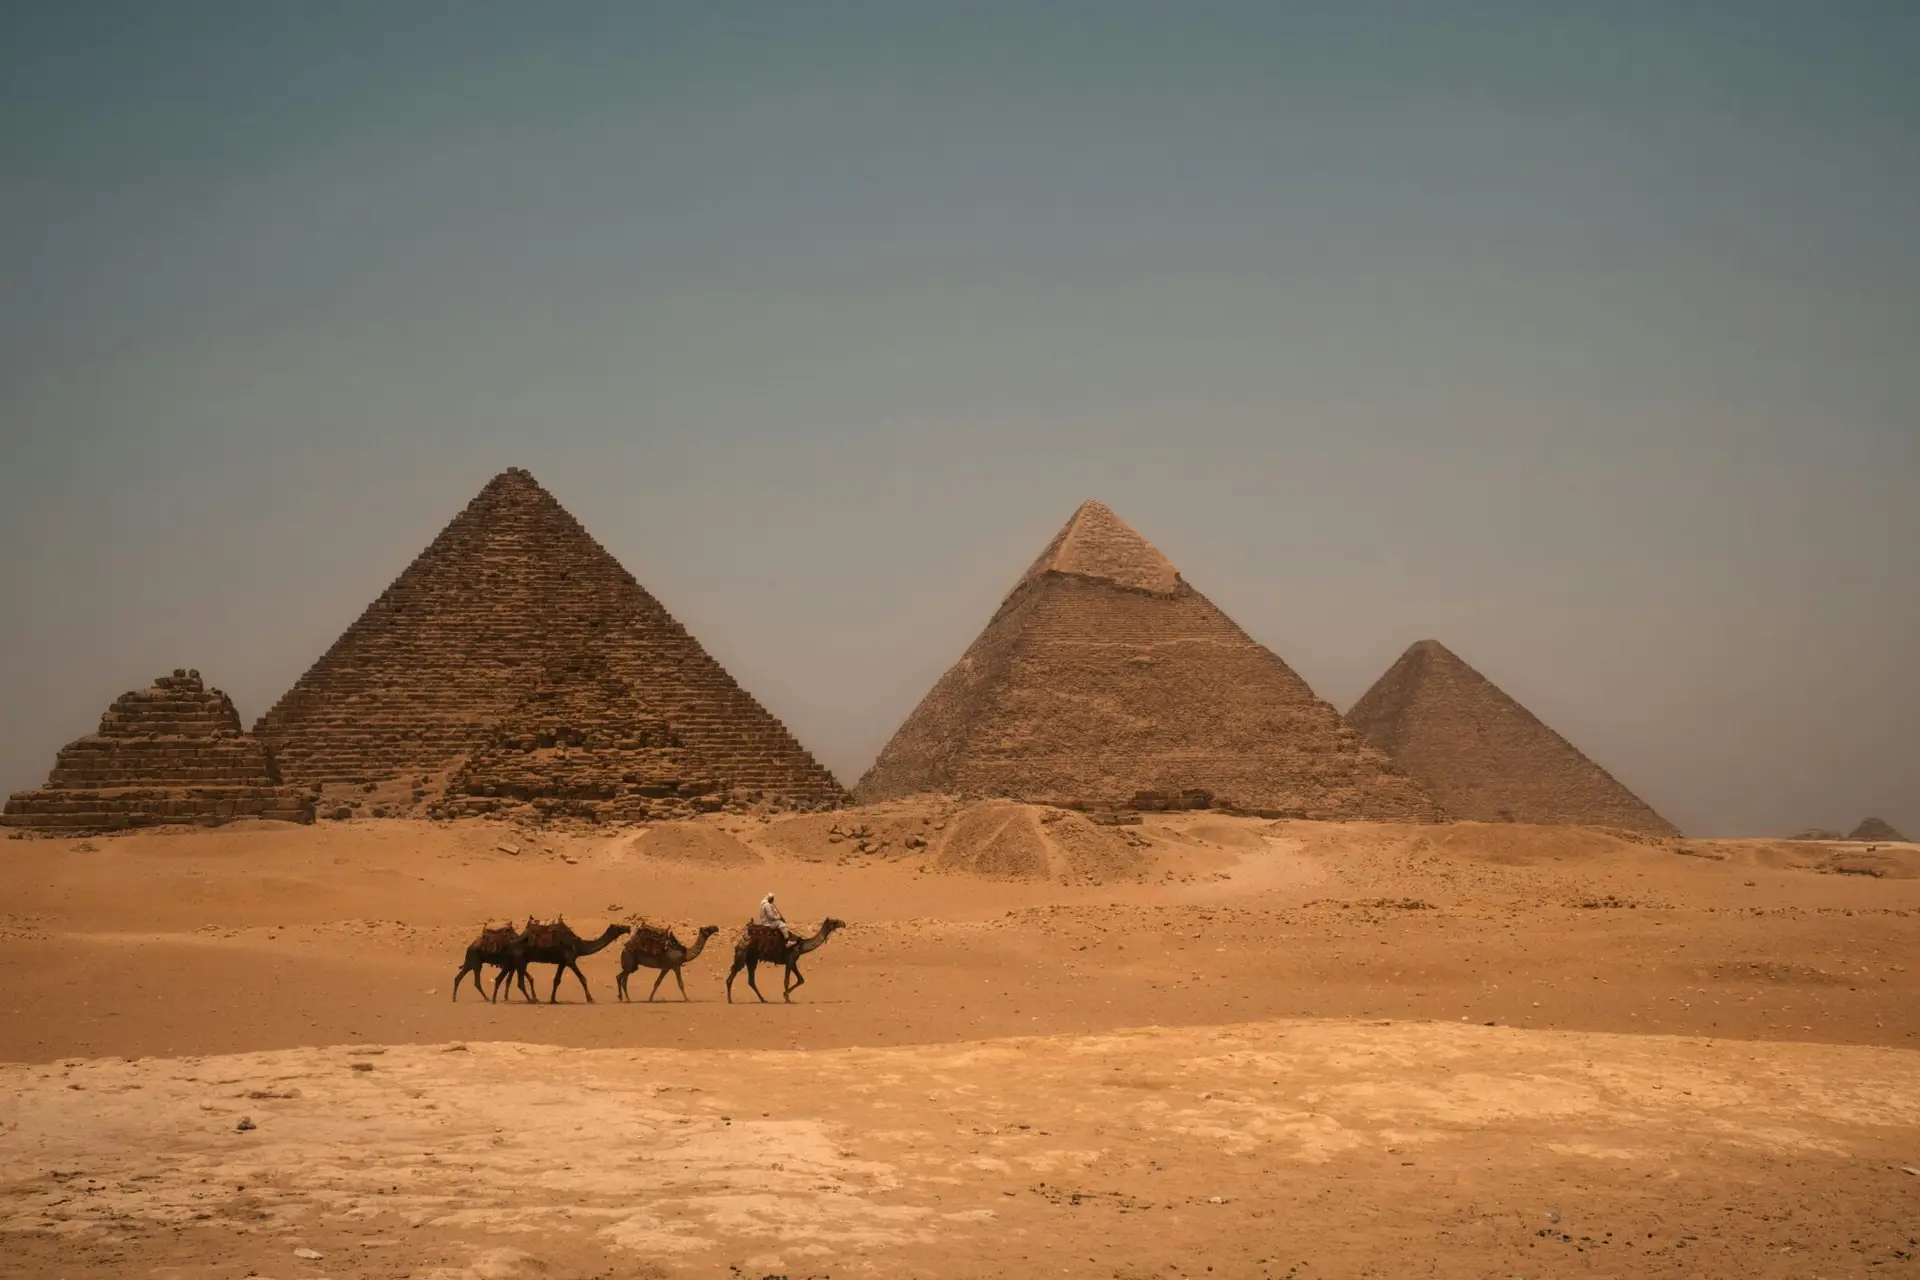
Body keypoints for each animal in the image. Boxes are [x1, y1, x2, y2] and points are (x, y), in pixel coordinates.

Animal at [502, 916, 631, 1004]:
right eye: (620, 926)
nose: (628, 928)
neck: (579, 945)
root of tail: (511, 944)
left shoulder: (562, 962)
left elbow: (556, 980)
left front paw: (553, 1000)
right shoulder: (570, 960)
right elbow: (582, 978)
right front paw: (590, 999)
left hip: (521, 961)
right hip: (520, 960)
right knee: (519, 981)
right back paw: (530, 999)